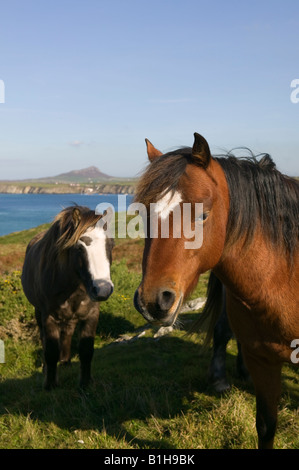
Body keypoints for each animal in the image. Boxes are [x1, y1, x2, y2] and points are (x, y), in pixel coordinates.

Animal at [21, 206, 115, 390]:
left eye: (111, 245)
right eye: (79, 248)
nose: (103, 289)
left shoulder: (91, 315)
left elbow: (86, 350)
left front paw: (85, 383)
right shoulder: (48, 317)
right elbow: (50, 351)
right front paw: (50, 385)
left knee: (67, 333)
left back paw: (65, 361)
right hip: (38, 313)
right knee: (44, 339)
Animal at [134, 132, 299, 448]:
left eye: (202, 216)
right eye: (144, 215)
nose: (154, 302)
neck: (284, 278)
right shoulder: (263, 361)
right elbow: (266, 427)